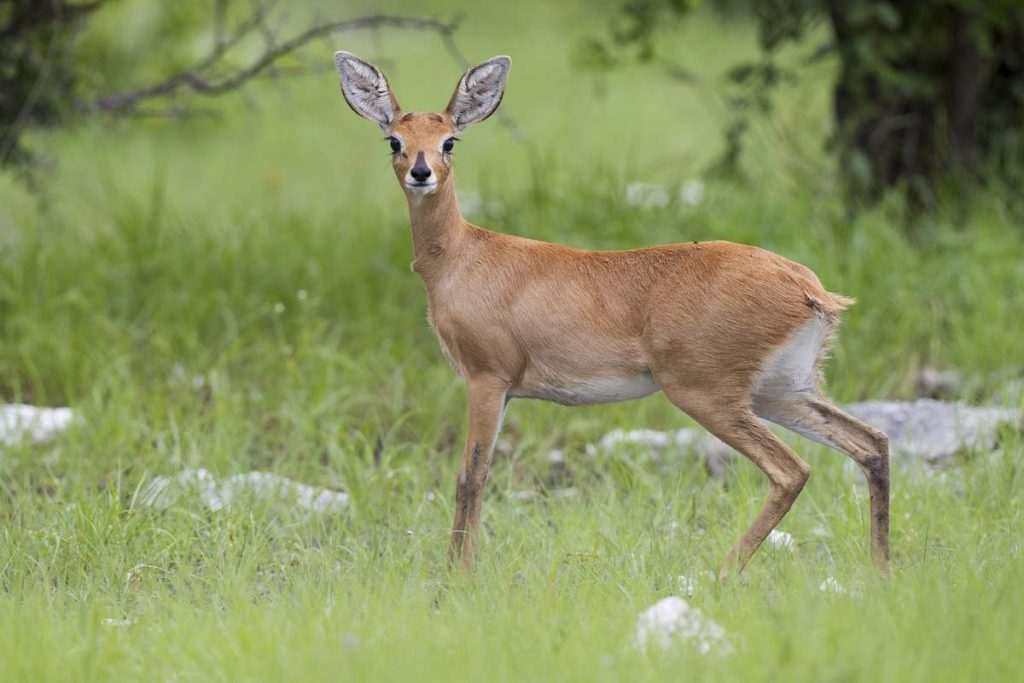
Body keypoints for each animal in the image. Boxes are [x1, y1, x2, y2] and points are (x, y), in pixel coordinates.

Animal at [333, 50, 888, 581]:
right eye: (394, 140)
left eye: (449, 141)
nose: (420, 172)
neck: (461, 255)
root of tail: (810, 289)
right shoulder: (503, 389)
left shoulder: (486, 379)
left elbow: (471, 478)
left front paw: (454, 581)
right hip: (782, 392)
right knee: (871, 443)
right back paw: (882, 571)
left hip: (707, 394)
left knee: (792, 469)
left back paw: (721, 573)